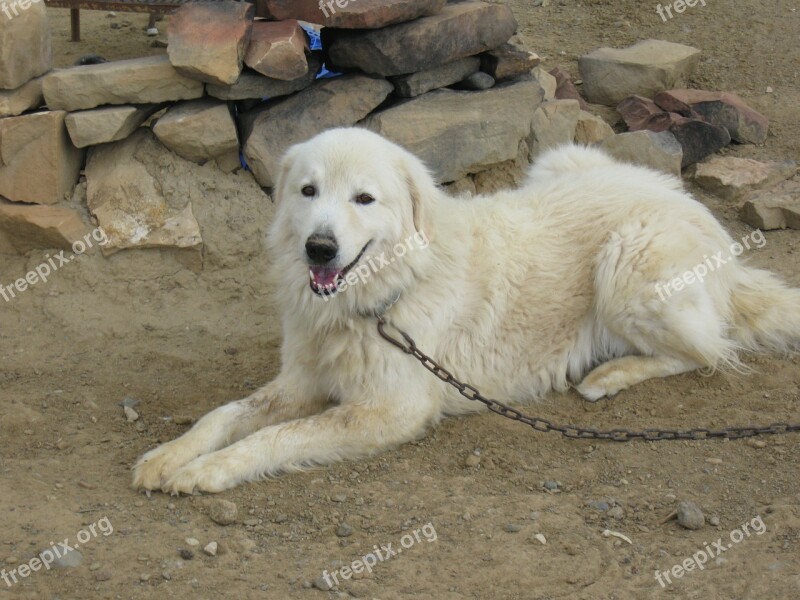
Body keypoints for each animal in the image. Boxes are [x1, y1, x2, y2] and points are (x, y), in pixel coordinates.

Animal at [133, 129, 800, 494]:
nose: (318, 247)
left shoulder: (391, 409)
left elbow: (279, 436)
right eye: (308, 191)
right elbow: (226, 414)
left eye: (364, 198)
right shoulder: (301, 379)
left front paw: (209, 471)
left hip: (626, 263)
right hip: (561, 161)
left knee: (708, 350)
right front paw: (169, 456)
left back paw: (609, 374)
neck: (382, 295)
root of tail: (697, 211)